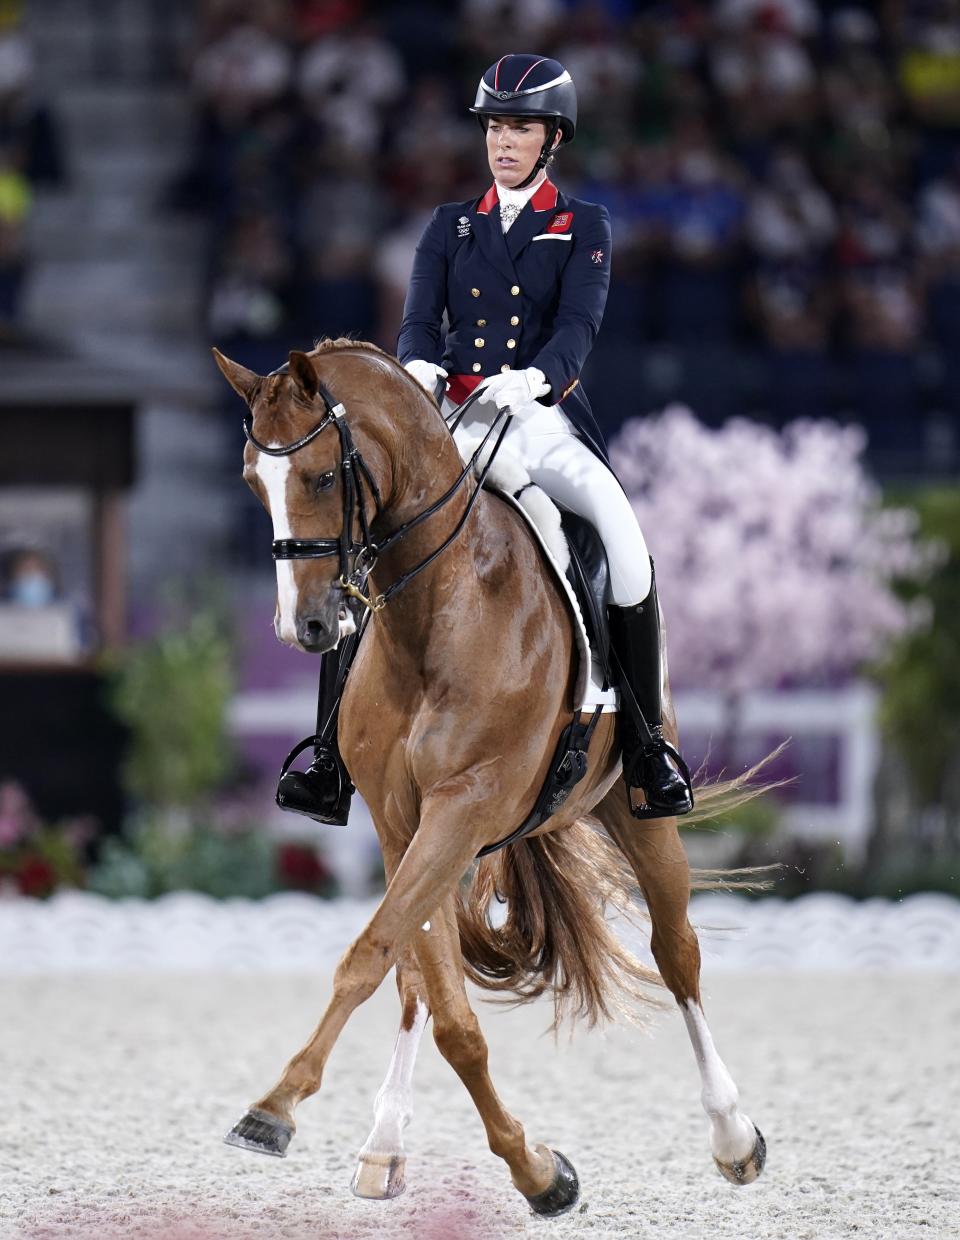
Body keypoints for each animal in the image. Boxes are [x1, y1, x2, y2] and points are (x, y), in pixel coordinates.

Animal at [212, 344, 768, 1215]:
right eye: (251, 483)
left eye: (324, 477)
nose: (305, 627)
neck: (438, 612)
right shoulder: (405, 822)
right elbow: (435, 1001)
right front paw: (539, 1169)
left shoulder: (462, 808)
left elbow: (375, 957)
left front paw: (273, 1107)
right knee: (418, 982)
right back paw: (383, 1147)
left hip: (635, 809)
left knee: (677, 953)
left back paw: (734, 1137)